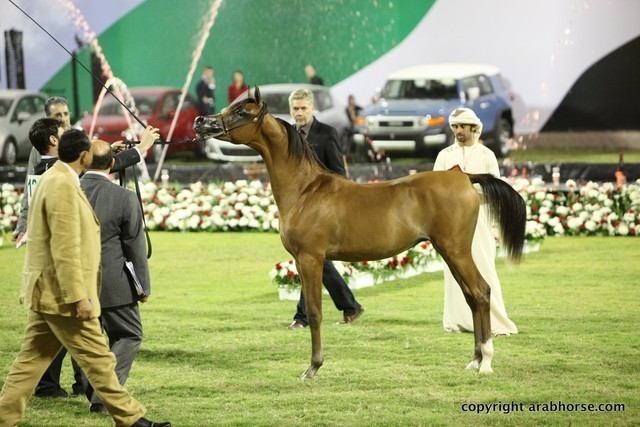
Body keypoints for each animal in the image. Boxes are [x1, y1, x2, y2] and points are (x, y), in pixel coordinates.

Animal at [193, 87, 526, 379]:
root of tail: (464, 176)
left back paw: (486, 362)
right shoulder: (302, 261)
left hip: (456, 251)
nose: (201, 122)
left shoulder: (311, 259)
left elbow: (315, 312)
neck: (305, 190)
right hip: (450, 252)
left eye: (241, 112)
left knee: (481, 292)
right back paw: (475, 360)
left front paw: (312, 368)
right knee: (472, 297)